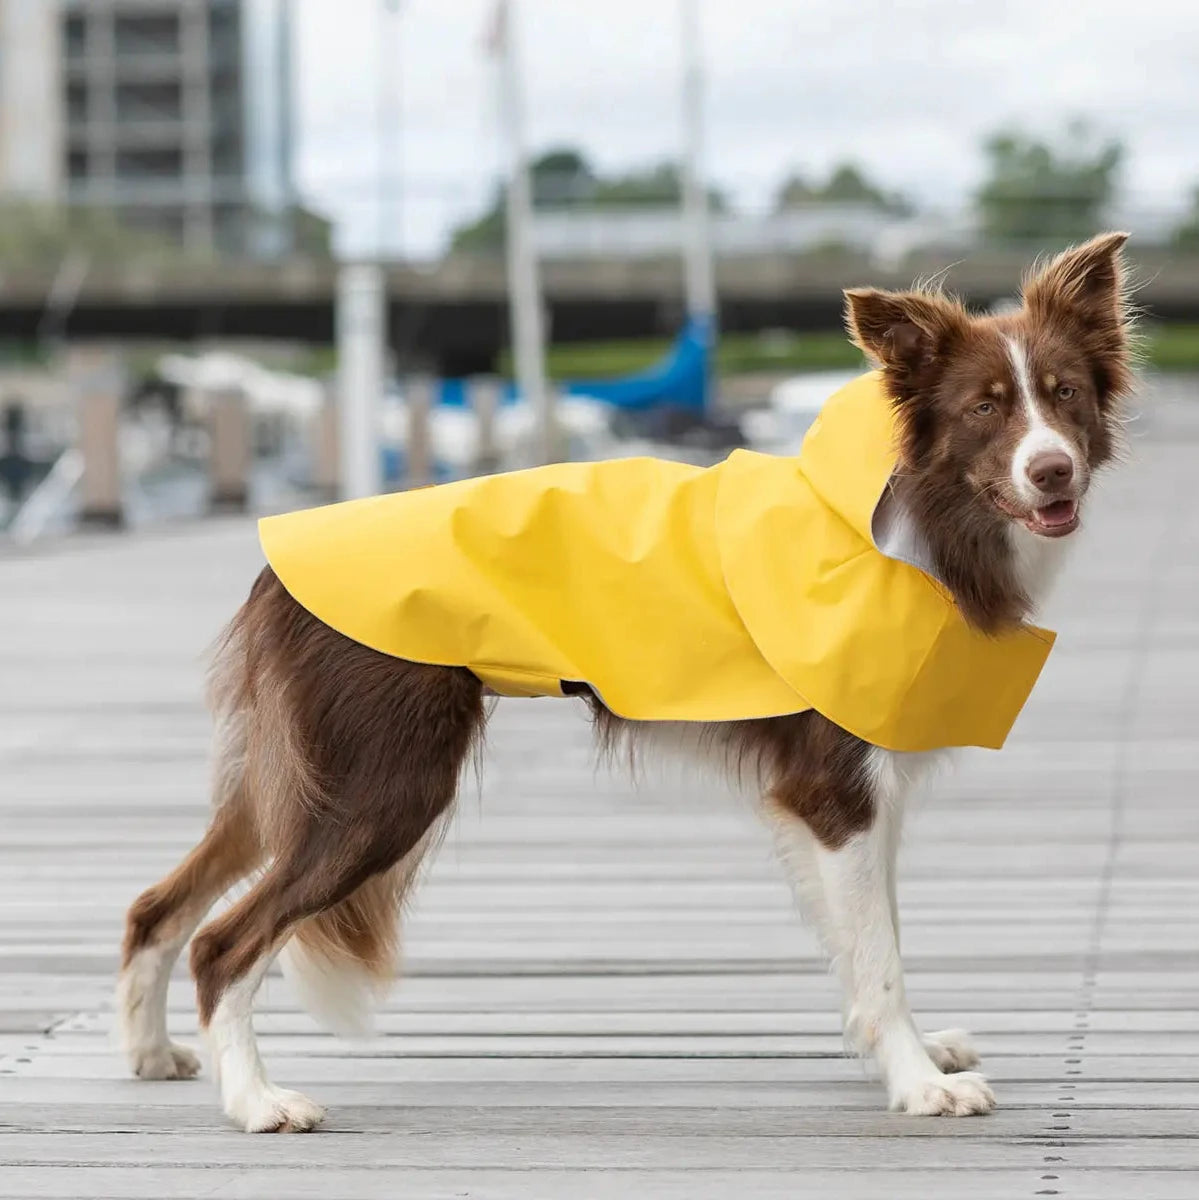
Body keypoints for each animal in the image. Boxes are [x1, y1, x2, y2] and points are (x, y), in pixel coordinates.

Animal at [119, 231, 1132, 1123]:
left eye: (1064, 395)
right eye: (983, 409)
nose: (1053, 472)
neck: (925, 524)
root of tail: (275, 563)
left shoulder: (855, 799)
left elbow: (865, 939)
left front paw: (903, 1052)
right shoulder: (836, 787)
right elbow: (878, 955)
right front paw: (919, 1084)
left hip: (293, 781)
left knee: (157, 904)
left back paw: (150, 1053)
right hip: (382, 786)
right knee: (222, 941)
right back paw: (256, 1103)